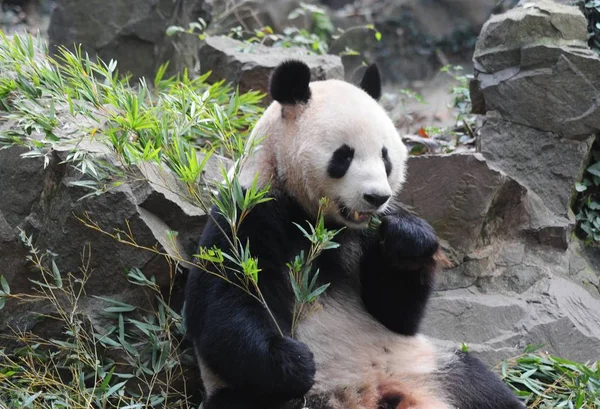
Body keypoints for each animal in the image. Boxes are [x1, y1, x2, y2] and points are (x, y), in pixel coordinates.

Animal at [183, 59, 524, 408]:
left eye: (386, 157)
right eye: (343, 156)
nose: (376, 197)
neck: (318, 222)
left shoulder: (364, 238)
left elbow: (396, 312)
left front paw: (408, 239)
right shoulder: (248, 212)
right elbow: (224, 305)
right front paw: (295, 361)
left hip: (429, 366)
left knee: (481, 386)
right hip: (263, 396)